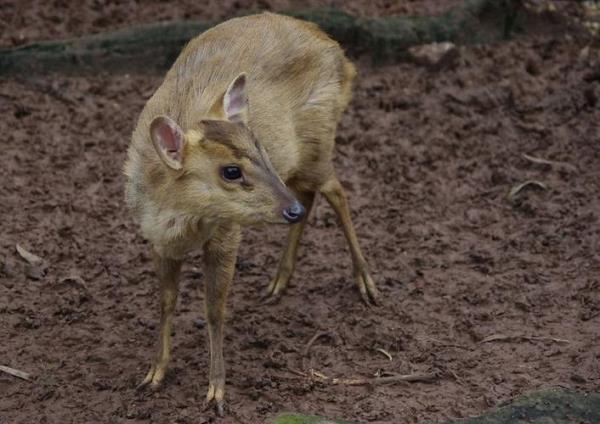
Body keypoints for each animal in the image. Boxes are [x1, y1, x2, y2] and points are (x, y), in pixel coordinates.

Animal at [124, 11, 378, 416]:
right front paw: (154, 374)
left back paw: (365, 282)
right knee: (309, 196)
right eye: (231, 171)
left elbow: (214, 308)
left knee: (335, 191)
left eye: (259, 148)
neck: (183, 220)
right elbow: (165, 302)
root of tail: (341, 56)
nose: (287, 208)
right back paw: (278, 281)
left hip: (318, 140)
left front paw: (216, 392)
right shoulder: (159, 241)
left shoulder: (226, 232)